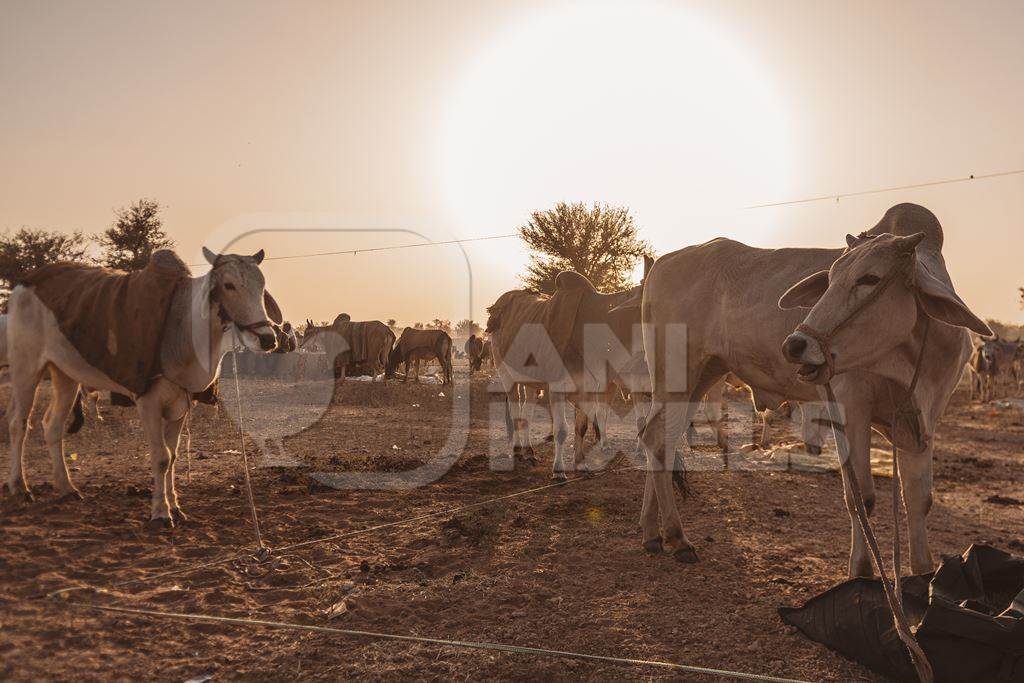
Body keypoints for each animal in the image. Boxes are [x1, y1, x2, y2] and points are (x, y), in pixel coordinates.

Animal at [634, 204, 987, 577]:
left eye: (870, 278)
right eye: (829, 280)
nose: (795, 344)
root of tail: (659, 264)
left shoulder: (924, 421)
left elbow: (920, 500)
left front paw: (924, 573)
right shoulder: (849, 408)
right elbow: (860, 497)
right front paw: (861, 571)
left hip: (699, 377)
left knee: (658, 437)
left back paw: (652, 532)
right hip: (676, 375)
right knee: (658, 439)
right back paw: (676, 537)